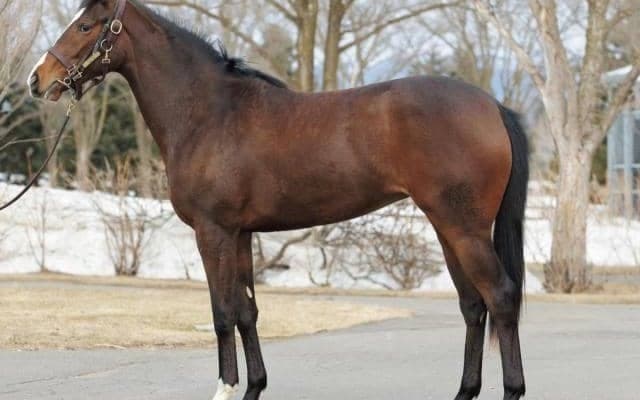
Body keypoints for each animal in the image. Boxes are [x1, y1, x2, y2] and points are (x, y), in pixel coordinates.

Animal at [28, 1, 529, 399]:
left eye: (86, 26)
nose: (37, 79)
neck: (209, 112)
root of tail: (492, 106)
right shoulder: (241, 234)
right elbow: (247, 311)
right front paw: (253, 387)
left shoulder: (213, 233)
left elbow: (222, 313)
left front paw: (225, 388)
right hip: (448, 229)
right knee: (473, 305)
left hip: (463, 229)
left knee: (501, 298)